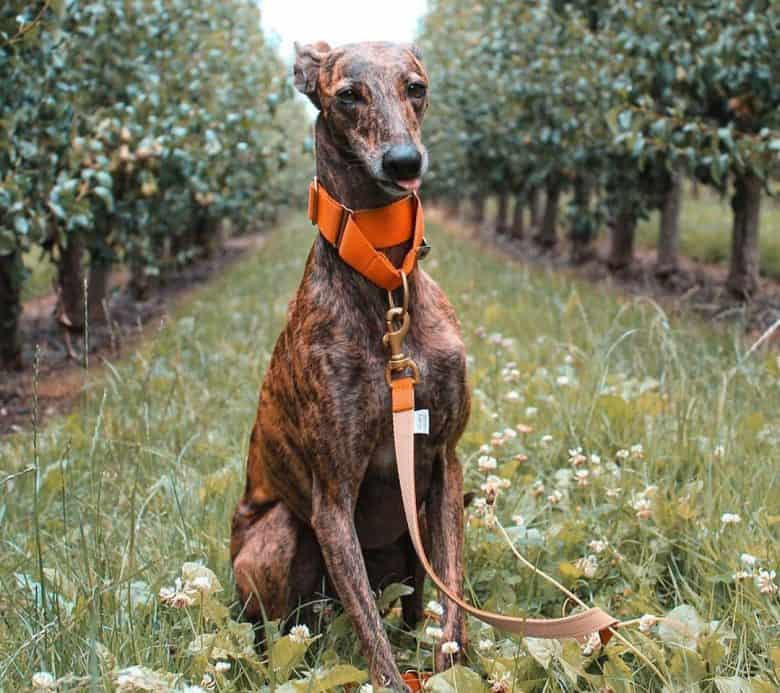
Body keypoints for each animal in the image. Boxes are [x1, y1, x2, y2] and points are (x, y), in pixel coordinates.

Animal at [227, 40, 470, 688]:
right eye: (348, 96)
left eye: (416, 87)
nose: (404, 162)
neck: (387, 291)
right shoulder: (332, 500)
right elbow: (374, 641)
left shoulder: (445, 462)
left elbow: (452, 608)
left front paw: (453, 669)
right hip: (281, 538)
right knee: (285, 629)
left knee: (410, 604)